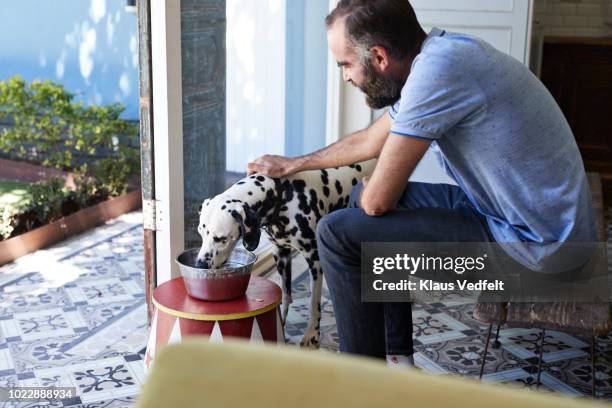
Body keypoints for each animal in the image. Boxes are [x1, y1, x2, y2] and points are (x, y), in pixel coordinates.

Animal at [198, 159, 376, 348]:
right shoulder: (281, 256)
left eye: (221, 238)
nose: (200, 264)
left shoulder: (314, 259)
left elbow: (313, 302)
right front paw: (281, 325)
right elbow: (285, 295)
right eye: (200, 233)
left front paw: (312, 335)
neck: (283, 196)